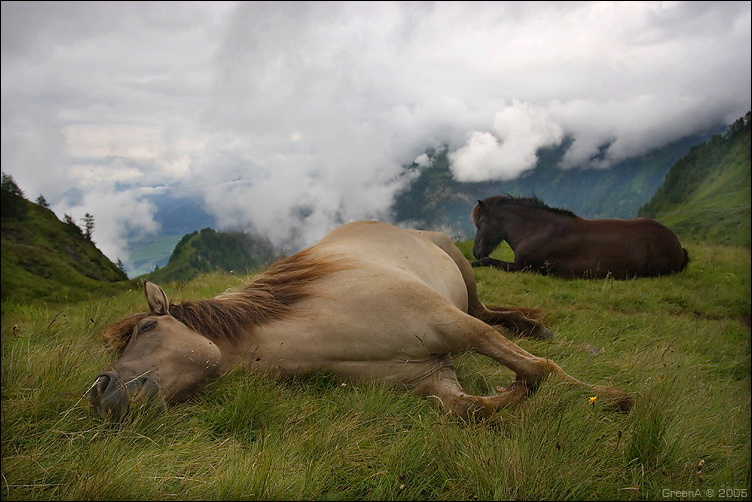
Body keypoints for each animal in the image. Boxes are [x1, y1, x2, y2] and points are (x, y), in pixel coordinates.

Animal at [90, 220, 633, 422]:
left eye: (148, 328)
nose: (100, 389)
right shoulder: (434, 379)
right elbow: (471, 408)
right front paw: (507, 394)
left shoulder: (455, 326)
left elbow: (539, 368)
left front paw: (612, 398)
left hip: (464, 279)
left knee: (491, 315)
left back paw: (545, 331)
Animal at [471, 195, 689, 279]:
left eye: (480, 225)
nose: (475, 251)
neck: (537, 229)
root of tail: (677, 244)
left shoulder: (527, 267)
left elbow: (488, 260)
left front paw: (475, 262)